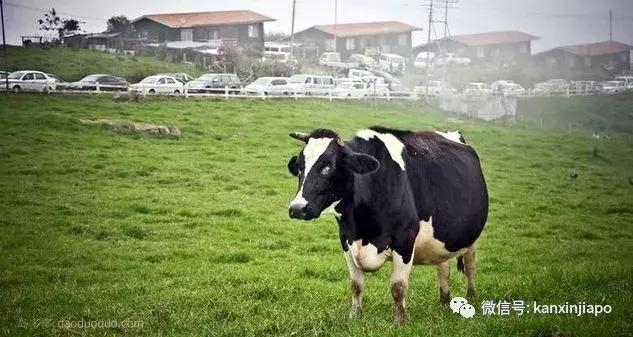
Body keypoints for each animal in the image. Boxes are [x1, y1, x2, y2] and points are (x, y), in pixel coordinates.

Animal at [286, 126, 488, 322]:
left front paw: (400, 321)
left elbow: (398, 287)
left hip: (471, 237)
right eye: (300, 167)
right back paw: (444, 301)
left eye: (328, 166)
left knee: (471, 266)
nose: (297, 208)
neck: (361, 228)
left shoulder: (405, 242)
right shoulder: (346, 241)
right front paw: (354, 316)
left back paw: (470, 298)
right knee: (443, 266)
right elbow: (355, 285)